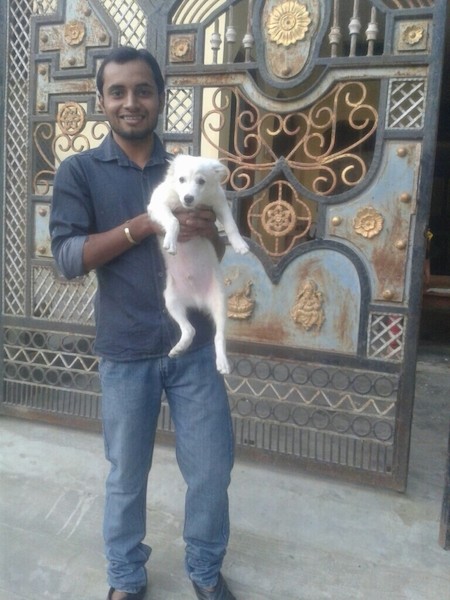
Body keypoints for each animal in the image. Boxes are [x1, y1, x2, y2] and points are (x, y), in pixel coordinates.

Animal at [148, 154, 248, 376]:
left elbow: (231, 226)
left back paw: (222, 362)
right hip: (171, 299)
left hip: (220, 302)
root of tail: (197, 300)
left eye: (201, 181)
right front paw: (171, 241)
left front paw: (239, 244)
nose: (188, 199)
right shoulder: (157, 204)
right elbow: (174, 221)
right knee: (190, 330)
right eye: (181, 180)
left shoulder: (219, 203)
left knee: (218, 336)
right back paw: (178, 348)